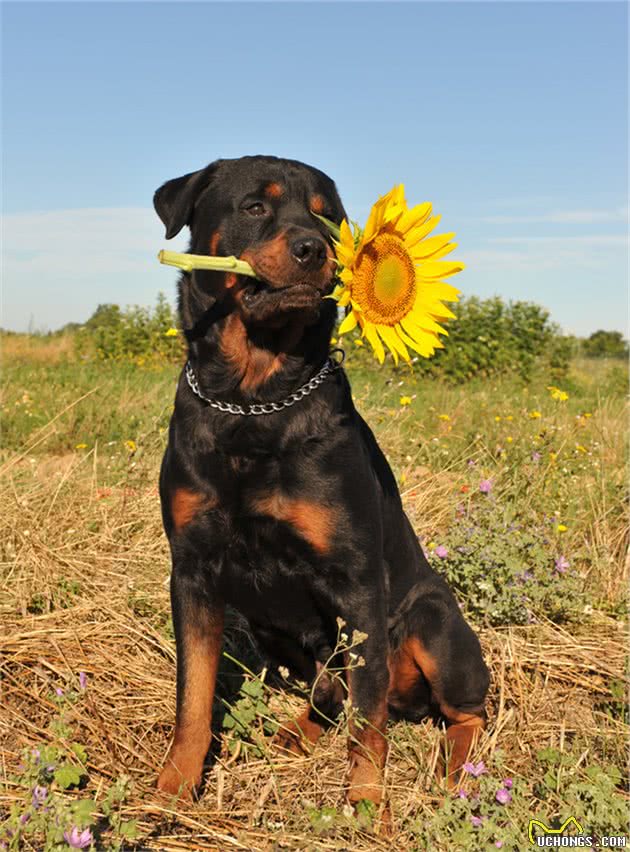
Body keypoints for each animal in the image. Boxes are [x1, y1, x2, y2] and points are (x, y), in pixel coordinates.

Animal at [156, 155, 492, 812]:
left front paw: (363, 804)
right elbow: (194, 695)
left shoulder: (357, 581)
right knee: (333, 693)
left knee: (459, 711)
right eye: (255, 206)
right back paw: (299, 733)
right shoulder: (193, 572)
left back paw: (456, 771)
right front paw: (176, 784)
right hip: (273, 627)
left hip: (434, 624)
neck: (253, 400)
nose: (312, 248)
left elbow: (367, 723)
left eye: (328, 218)